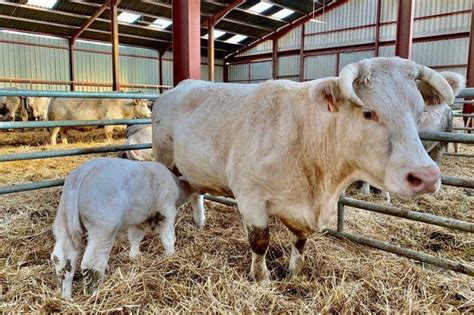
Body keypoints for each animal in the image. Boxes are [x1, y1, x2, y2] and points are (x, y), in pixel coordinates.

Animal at [51, 158, 199, 302]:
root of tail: (82, 173)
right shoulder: (166, 210)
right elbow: (168, 238)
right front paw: (171, 256)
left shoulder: (138, 219)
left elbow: (135, 237)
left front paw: (134, 256)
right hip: (103, 227)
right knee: (91, 262)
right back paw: (94, 294)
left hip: (63, 221)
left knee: (62, 259)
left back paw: (66, 297)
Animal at [154, 58, 454, 286]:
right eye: (368, 113)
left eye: (419, 113)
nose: (426, 177)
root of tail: (180, 87)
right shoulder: (250, 196)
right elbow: (260, 242)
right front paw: (261, 279)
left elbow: (299, 241)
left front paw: (295, 272)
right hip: (164, 159)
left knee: (197, 194)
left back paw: (200, 222)